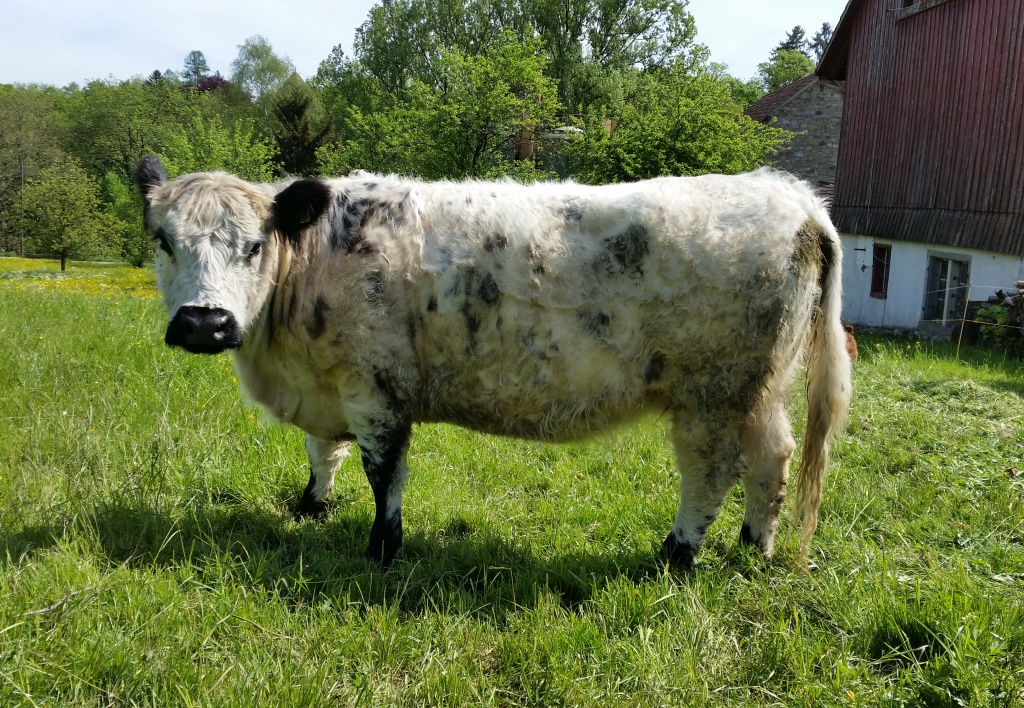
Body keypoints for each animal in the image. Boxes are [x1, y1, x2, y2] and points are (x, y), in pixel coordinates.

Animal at [136, 155, 851, 570]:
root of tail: (792, 197)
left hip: (710, 393)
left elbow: (382, 473)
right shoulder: (330, 381)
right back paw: (753, 550)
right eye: (162, 240)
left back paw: (675, 555)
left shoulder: (376, 387)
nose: (204, 324)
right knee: (773, 459)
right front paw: (312, 505)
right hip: (761, 388)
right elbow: (321, 452)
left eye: (254, 245)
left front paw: (382, 550)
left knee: (710, 474)